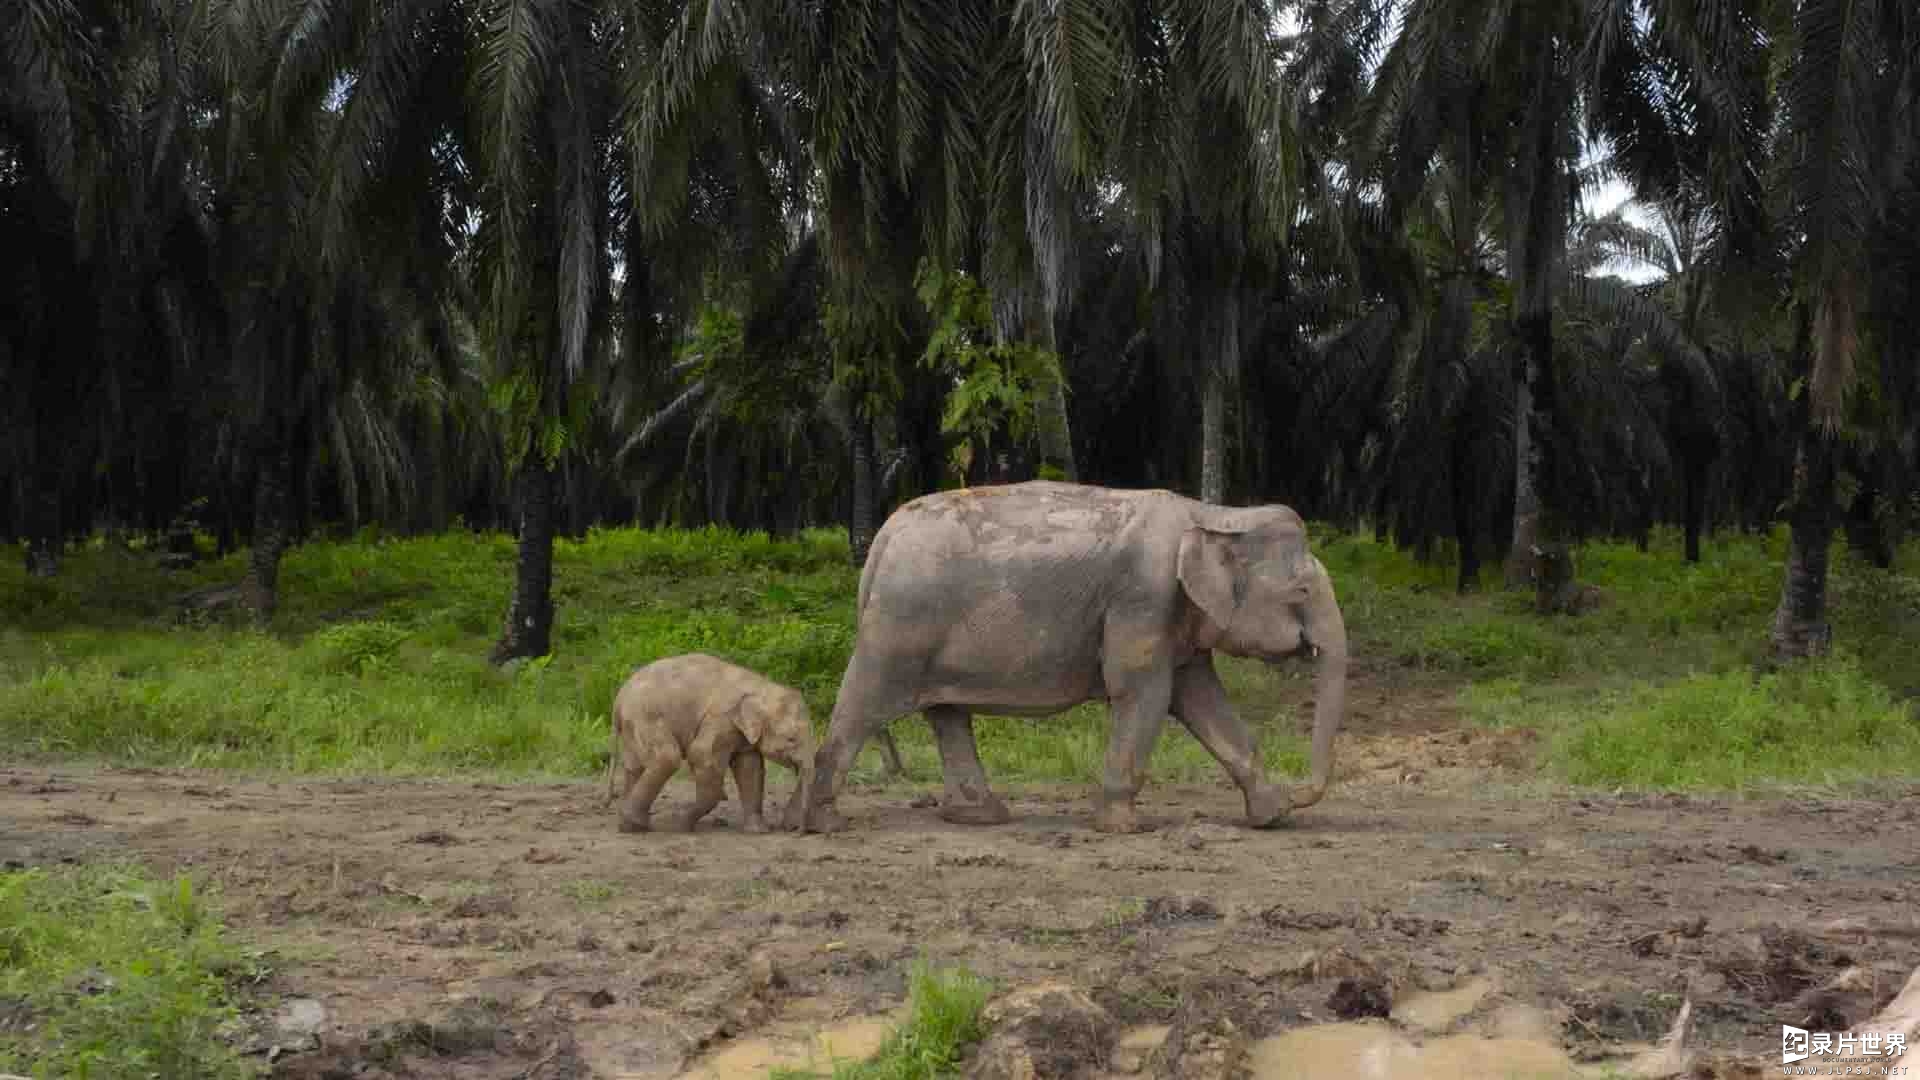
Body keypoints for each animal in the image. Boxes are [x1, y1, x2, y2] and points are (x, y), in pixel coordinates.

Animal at [606, 645, 817, 834]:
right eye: (791, 739)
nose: (796, 832)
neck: (762, 687)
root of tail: (618, 699)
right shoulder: (721, 719)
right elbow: (701, 755)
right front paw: (681, 827)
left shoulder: (742, 733)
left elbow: (751, 767)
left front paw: (759, 831)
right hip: (644, 717)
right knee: (666, 758)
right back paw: (635, 825)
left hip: (632, 725)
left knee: (635, 767)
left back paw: (631, 824)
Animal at [806, 478, 1351, 834]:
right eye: (1302, 590)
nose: (1299, 792)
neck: (1214, 513)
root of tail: (883, 535)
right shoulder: (1144, 596)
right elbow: (1145, 691)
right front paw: (1126, 826)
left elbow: (1199, 697)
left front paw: (1272, 815)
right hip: (900, 626)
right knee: (864, 701)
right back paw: (821, 823)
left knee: (946, 713)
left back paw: (980, 817)